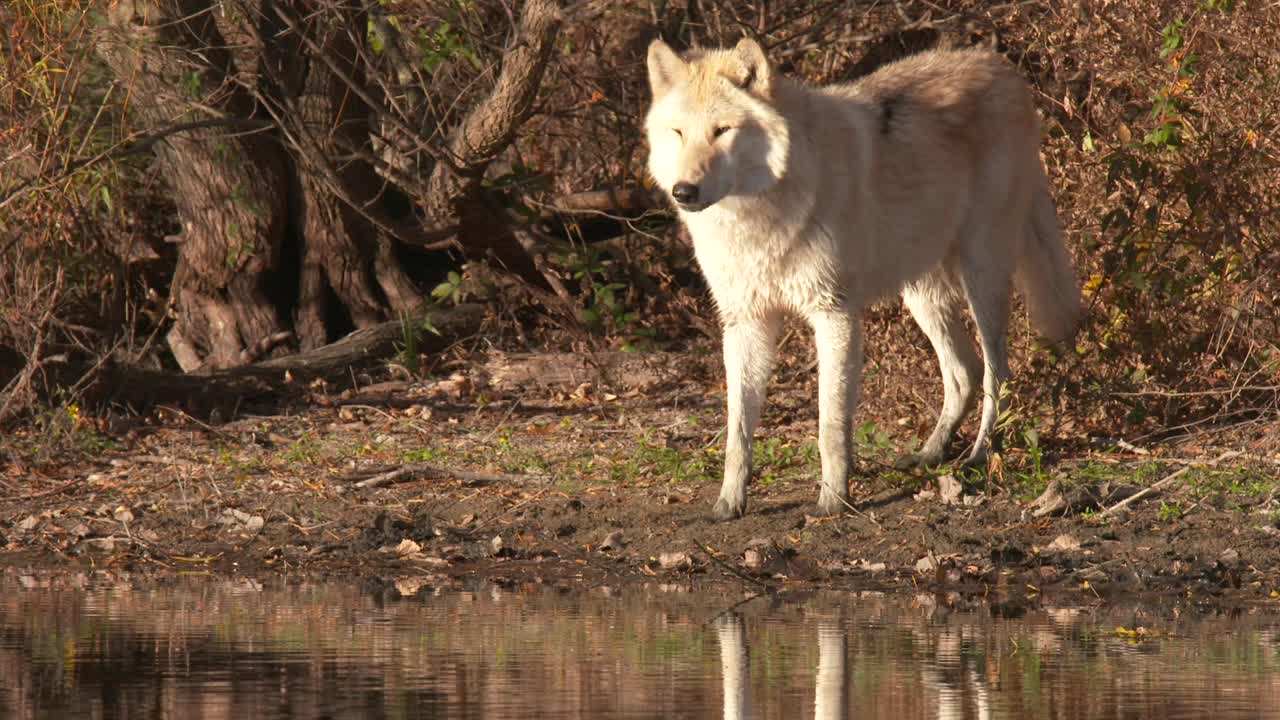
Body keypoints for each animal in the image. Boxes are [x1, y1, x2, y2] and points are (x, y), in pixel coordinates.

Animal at [645, 37, 1075, 515]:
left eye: (722, 130)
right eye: (678, 132)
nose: (684, 191)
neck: (756, 218)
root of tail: (1001, 65)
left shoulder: (834, 315)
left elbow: (830, 425)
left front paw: (834, 499)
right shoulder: (745, 324)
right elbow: (738, 431)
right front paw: (729, 503)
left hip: (982, 278)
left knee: (998, 373)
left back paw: (980, 454)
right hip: (921, 293)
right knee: (965, 371)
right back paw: (929, 454)